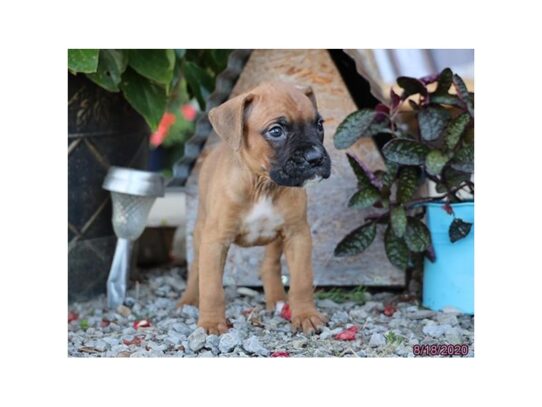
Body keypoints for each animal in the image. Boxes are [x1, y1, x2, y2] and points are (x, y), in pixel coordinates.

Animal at [178, 82, 332, 334]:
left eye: (319, 125)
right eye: (276, 131)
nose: (316, 157)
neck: (262, 184)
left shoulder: (297, 234)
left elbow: (302, 280)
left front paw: (306, 315)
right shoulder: (215, 241)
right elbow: (211, 287)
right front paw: (210, 323)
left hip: (278, 237)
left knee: (269, 264)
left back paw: (277, 299)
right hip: (201, 230)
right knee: (196, 270)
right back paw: (188, 301)